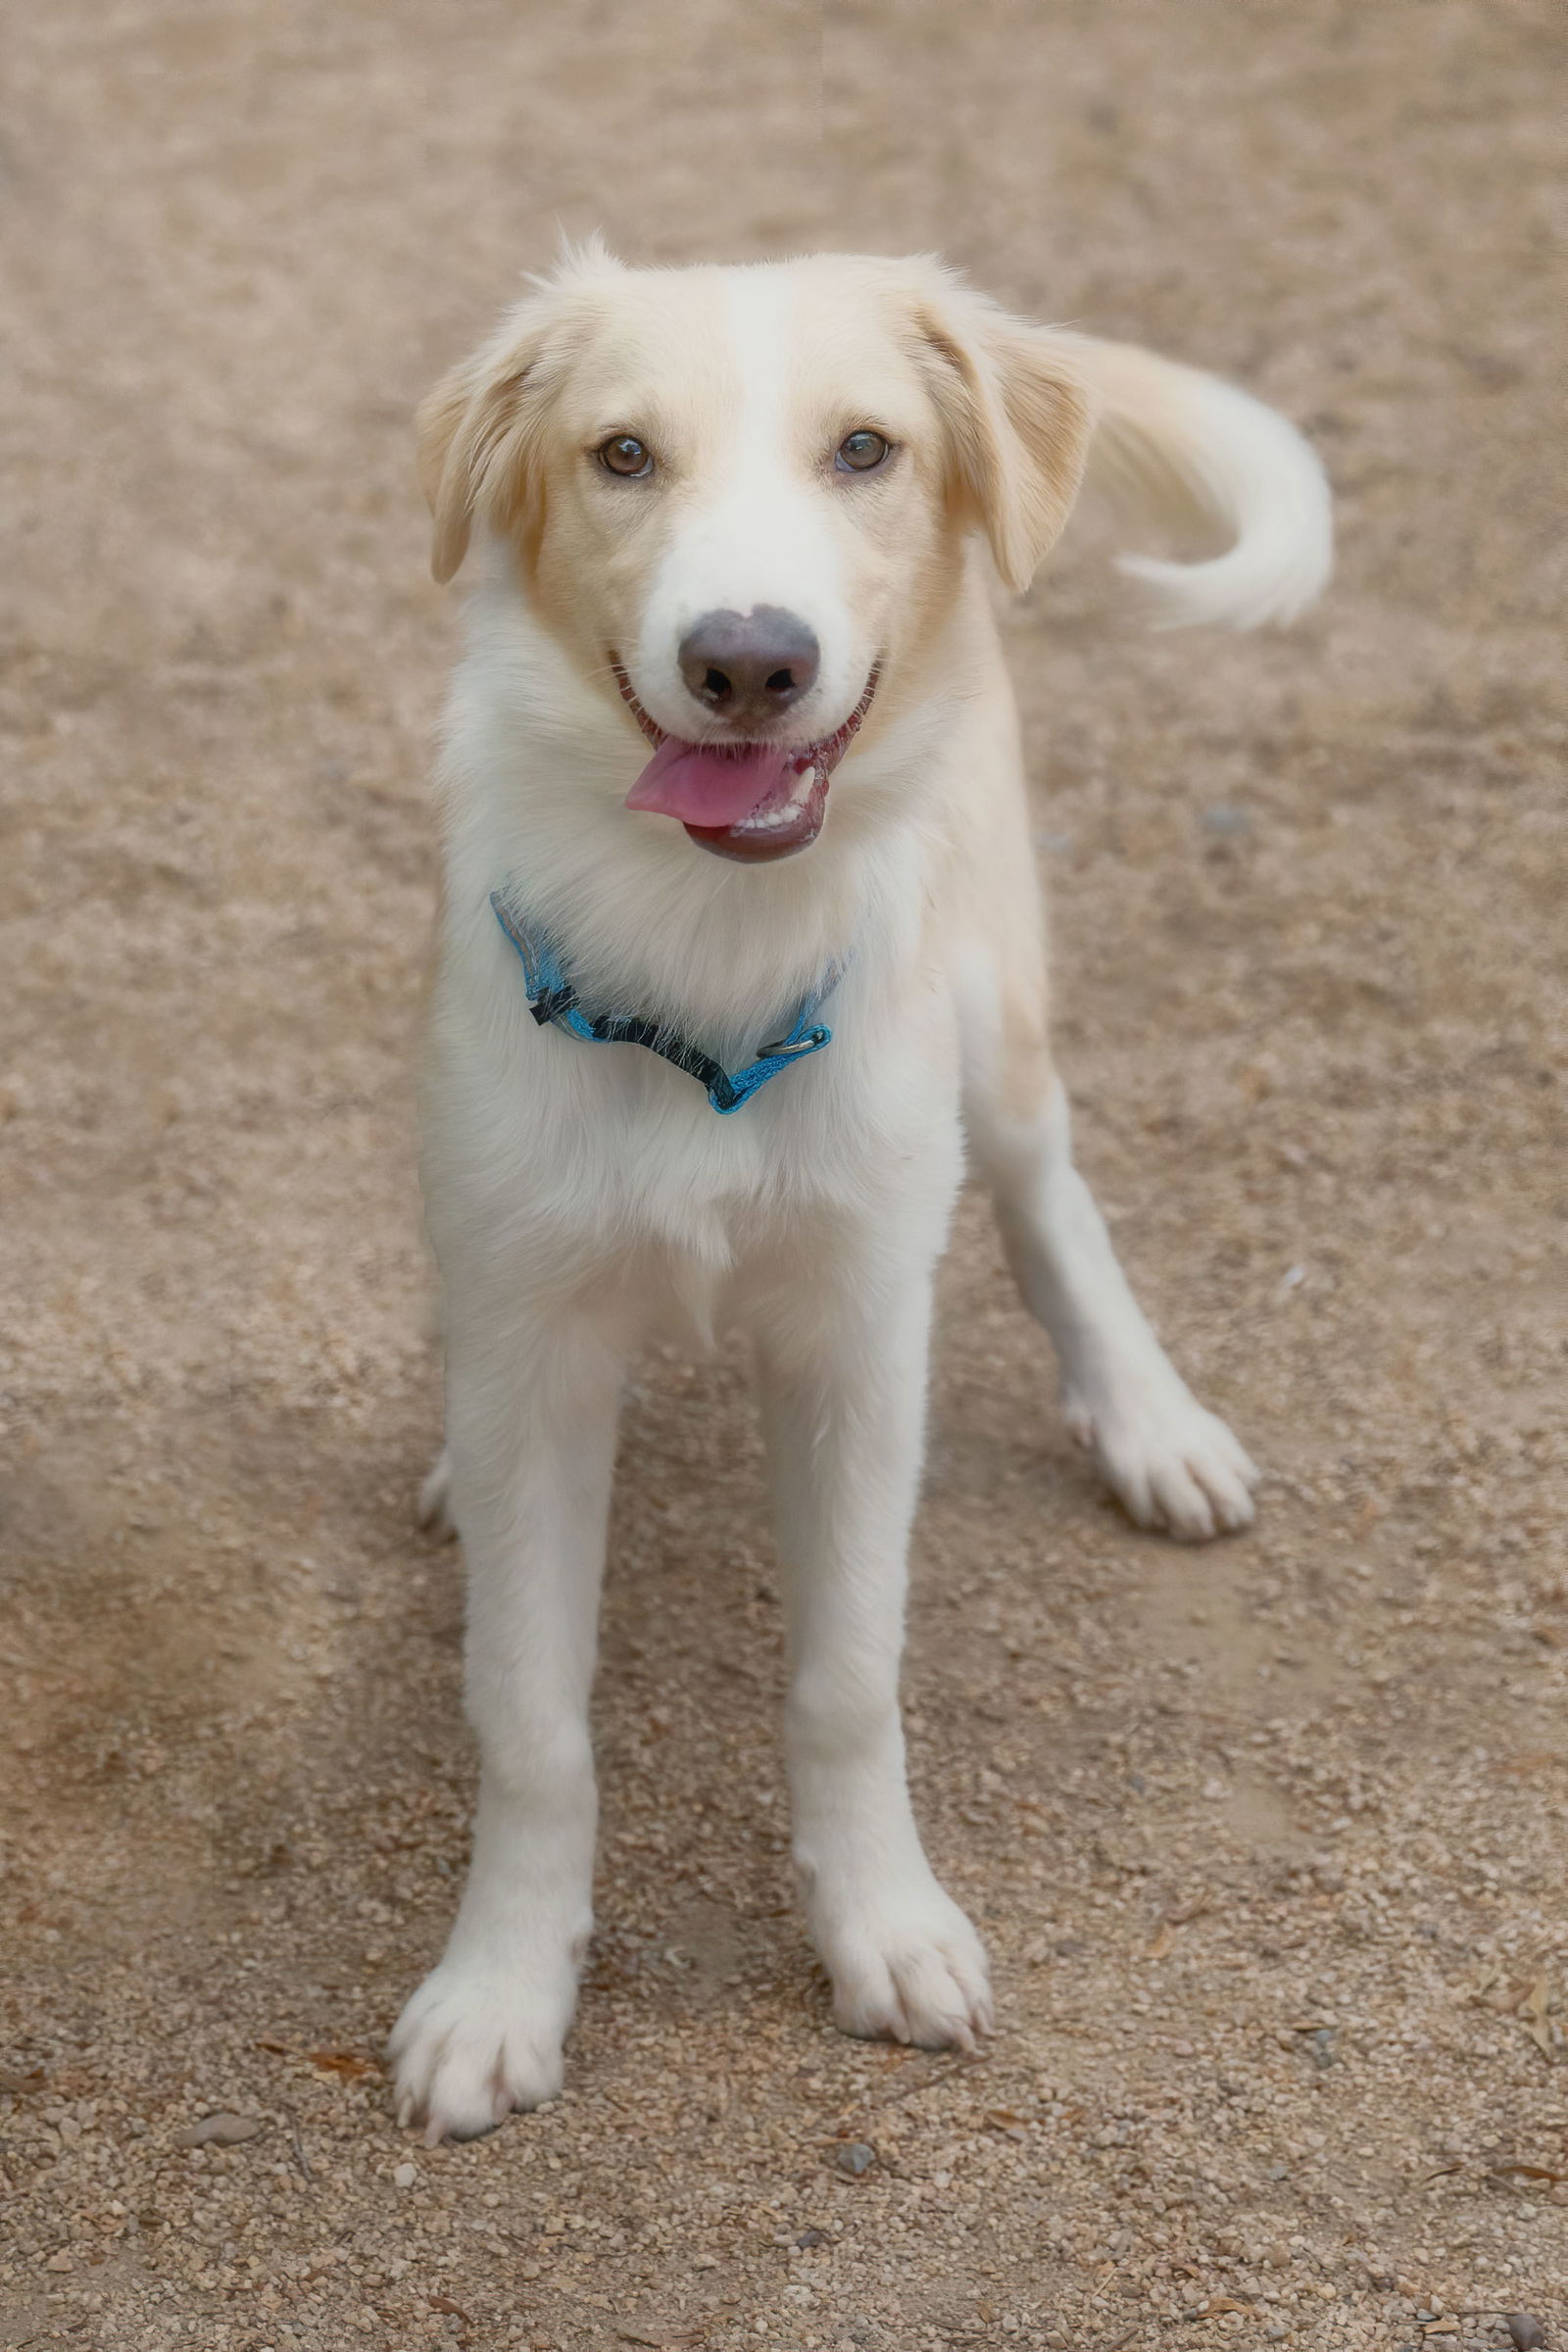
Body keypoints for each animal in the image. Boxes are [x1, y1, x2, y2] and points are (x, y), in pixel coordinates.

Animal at [385, 248, 1335, 2144]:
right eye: (621, 454)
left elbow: (845, 1683)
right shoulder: (531, 1331)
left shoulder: (855, 1343)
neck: (703, 950)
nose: (749, 661)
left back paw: (1151, 1421)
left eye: (864, 450)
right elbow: (530, 1716)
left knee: (1054, 1197)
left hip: (990, 1010)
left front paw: (881, 1931)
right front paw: (501, 1991)